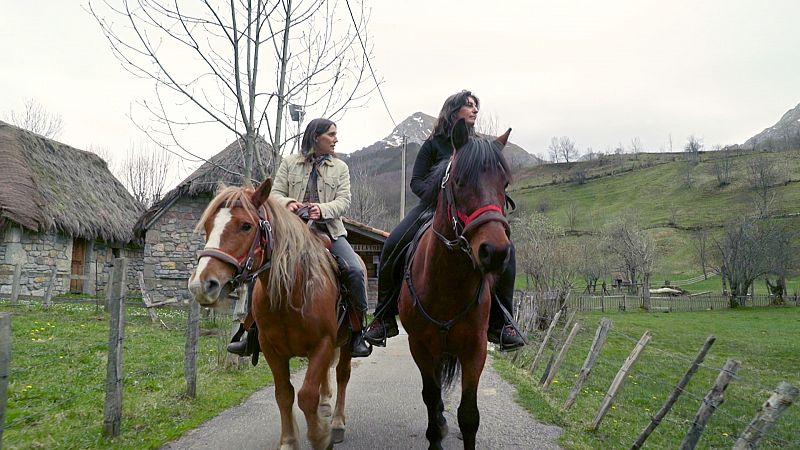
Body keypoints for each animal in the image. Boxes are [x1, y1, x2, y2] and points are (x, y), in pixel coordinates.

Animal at [189, 179, 354, 450]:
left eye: (246, 225)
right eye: (208, 226)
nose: (201, 285)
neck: (291, 292)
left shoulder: (322, 343)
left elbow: (306, 395)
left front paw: (320, 436)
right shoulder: (271, 349)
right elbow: (284, 394)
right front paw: (289, 441)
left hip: (348, 342)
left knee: (342, 375)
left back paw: (338, 423)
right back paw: (325, 409)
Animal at [400, 118, 512, 448]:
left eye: (505, 185)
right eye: (459, 181)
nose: (495, 252)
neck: (447, 283)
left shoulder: (475, 348)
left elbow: (469, 414)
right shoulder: (420, 347)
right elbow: (430, 396)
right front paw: (435, 435)